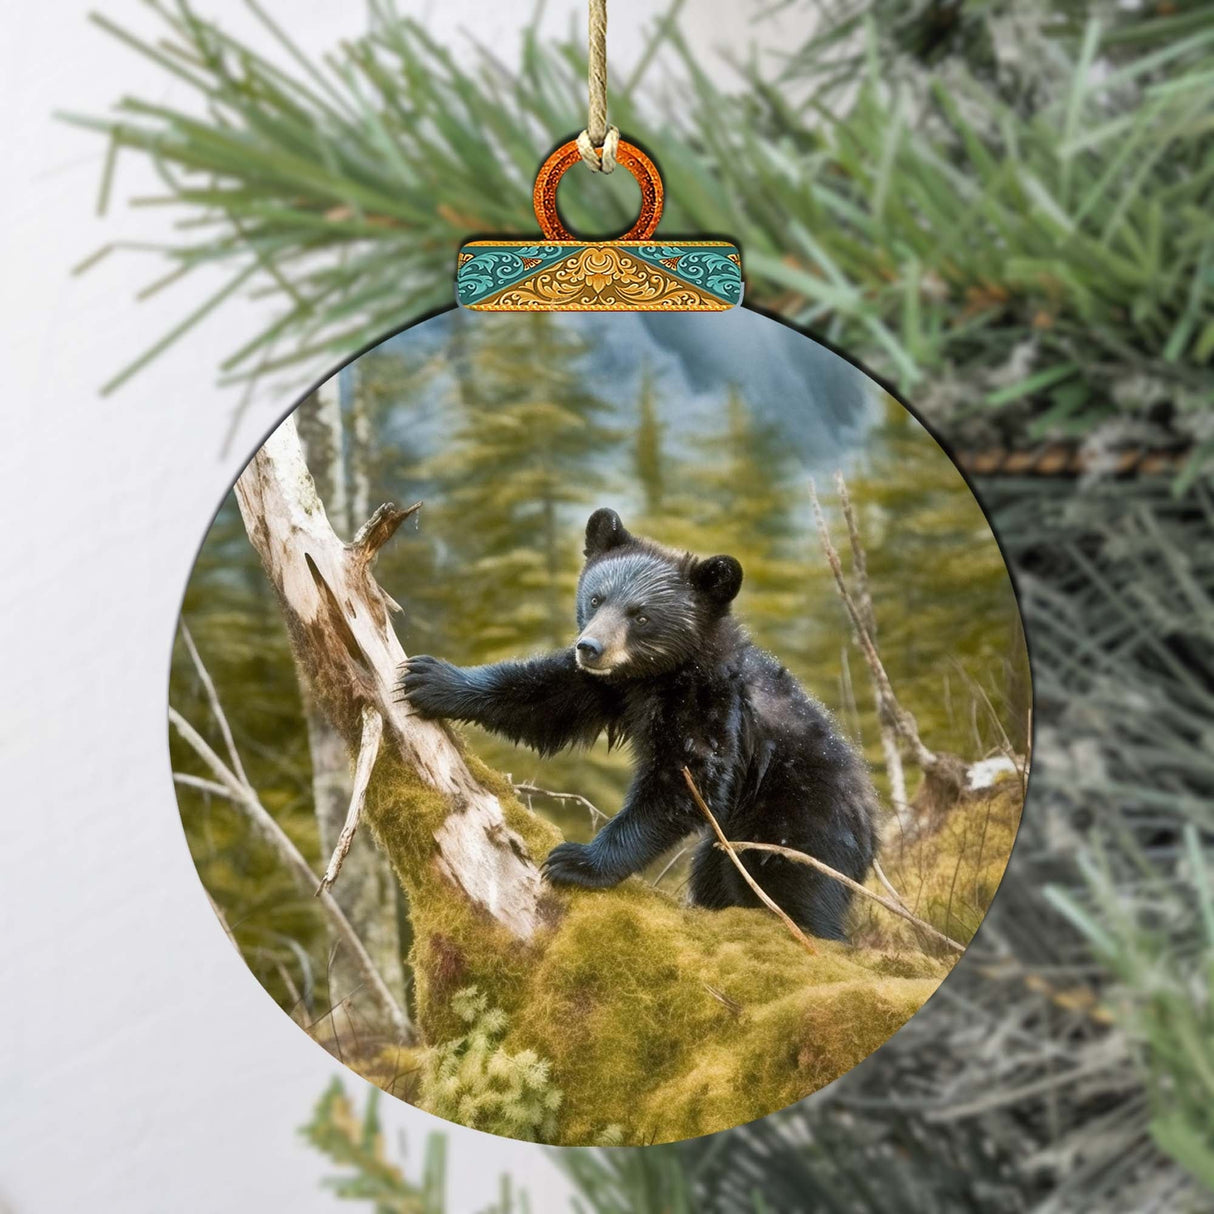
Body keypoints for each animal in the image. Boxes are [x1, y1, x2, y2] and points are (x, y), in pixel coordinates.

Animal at [400, 507, 877, 940]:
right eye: (596, 598)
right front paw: (430, 678)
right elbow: (545, 698)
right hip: (729, 843)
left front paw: (576, 861)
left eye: (641, 615)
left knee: (798, 891)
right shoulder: (608, 686)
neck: (659, 676)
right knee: (717, 878)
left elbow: (681, 783)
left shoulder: (709, 707)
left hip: (798, 823)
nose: (590, 647)